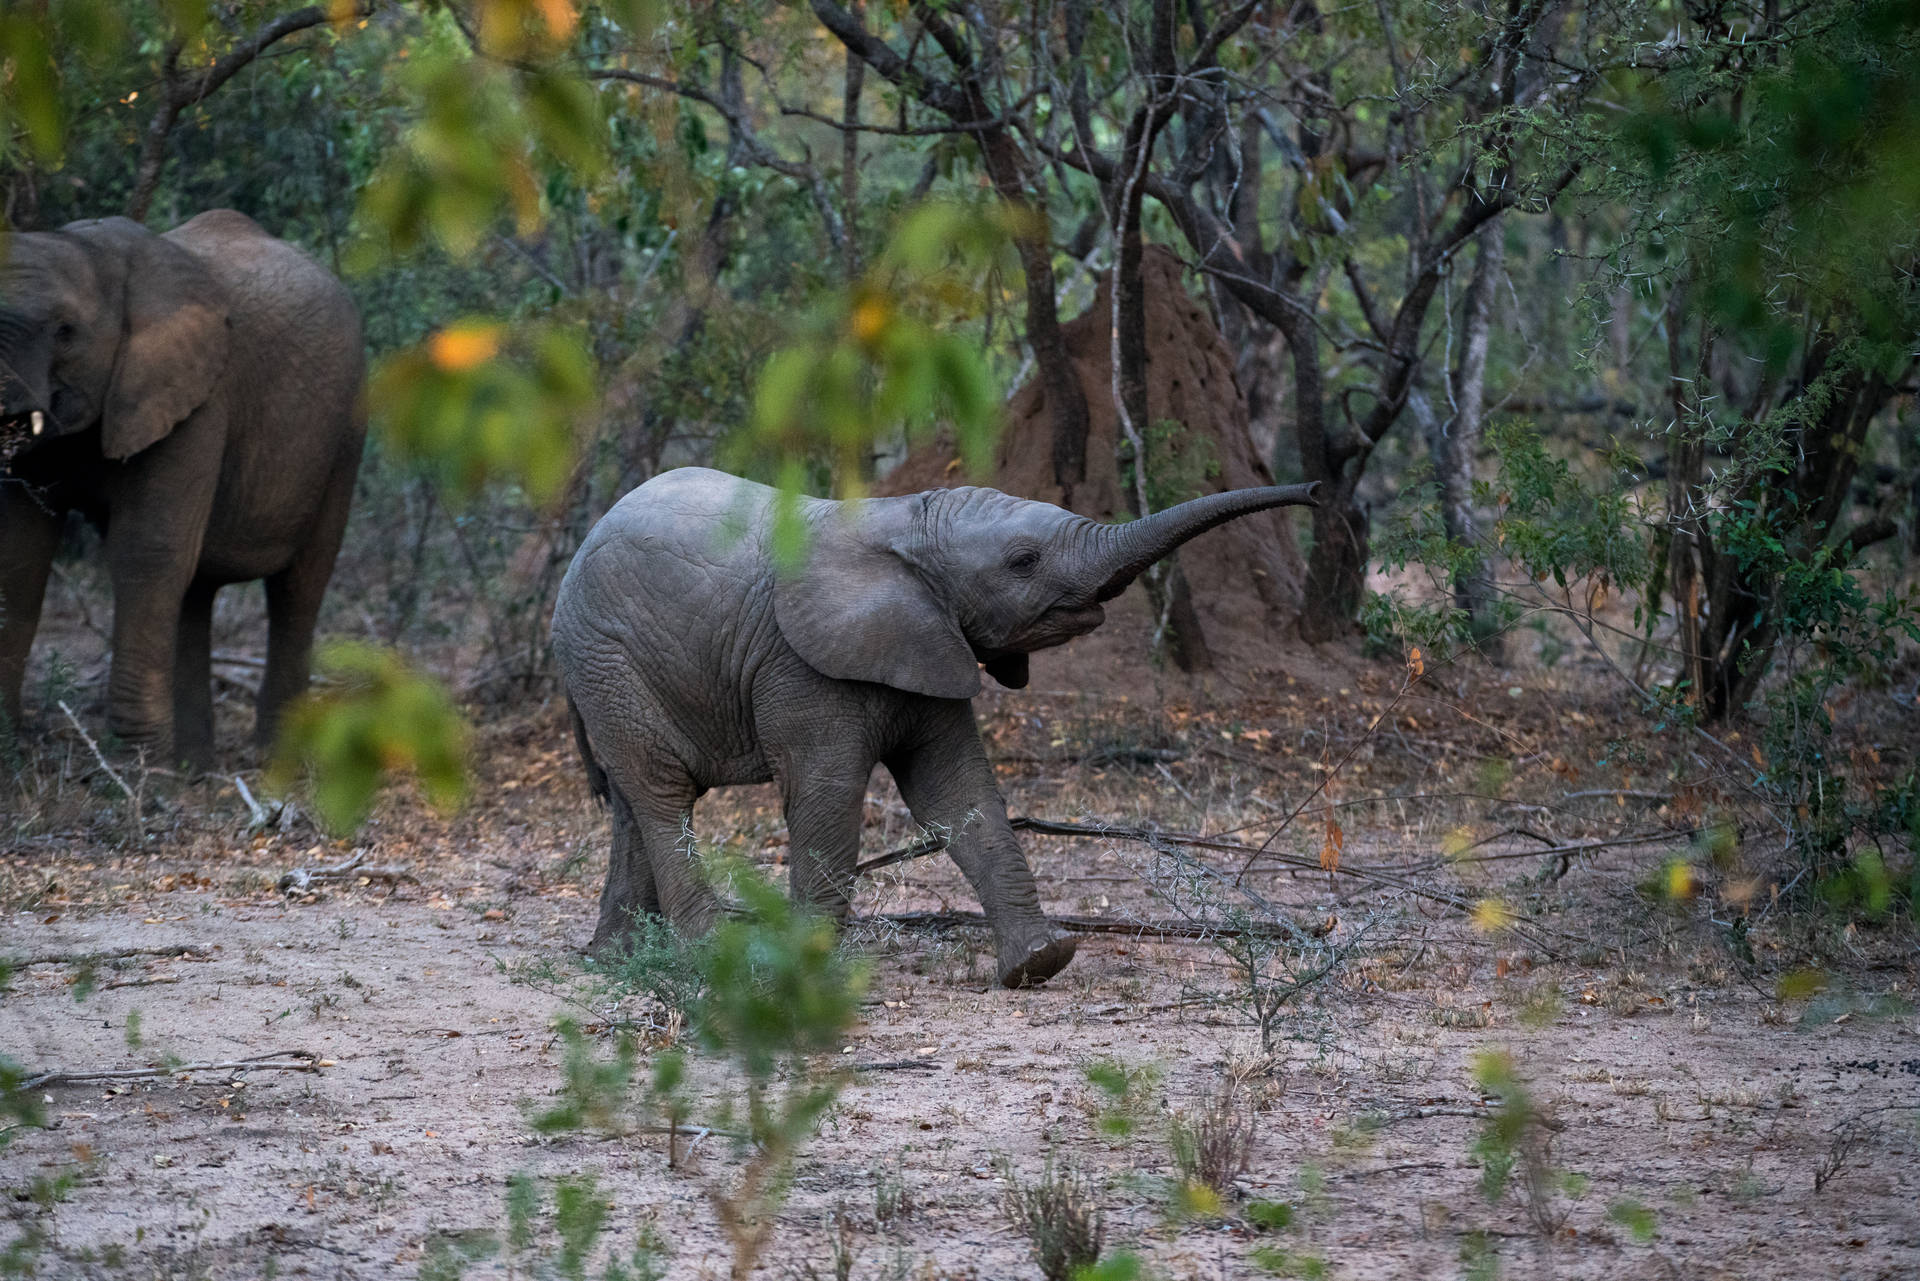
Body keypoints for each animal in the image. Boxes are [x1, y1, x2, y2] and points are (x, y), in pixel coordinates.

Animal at [0, 210, 365, 769]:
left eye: (65, 332)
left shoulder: (197, 399)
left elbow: (146, 550)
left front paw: (136, 768)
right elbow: (21, 553)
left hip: (346, 430)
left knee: (298, 587)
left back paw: (272, 761)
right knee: (195, 589)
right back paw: (195, 766)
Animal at [551, 466, 1318, 988]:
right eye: (1023, 560)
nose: (1315, 491)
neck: (906, 525)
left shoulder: (930, 641)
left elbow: (958, 792)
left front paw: (1040, 963)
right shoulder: (800, 665)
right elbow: (829, 797)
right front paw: (806, 975)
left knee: (632, 801)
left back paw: (617, 957)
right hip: (606, 658)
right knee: (662, 792)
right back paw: (713, 955)